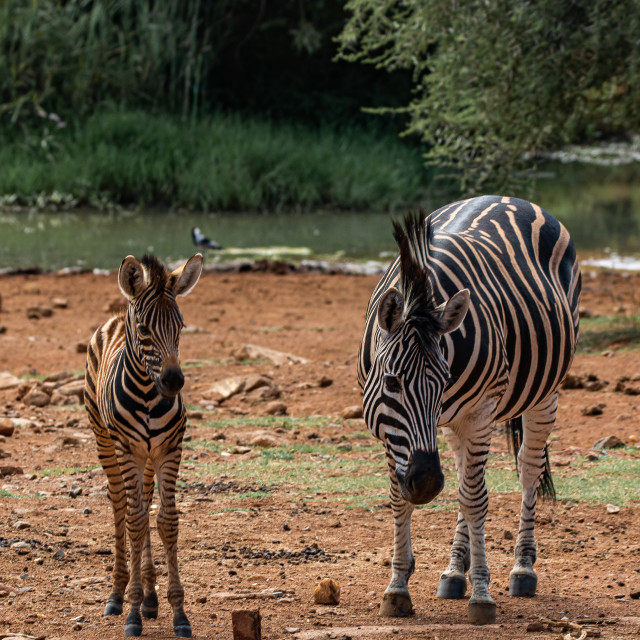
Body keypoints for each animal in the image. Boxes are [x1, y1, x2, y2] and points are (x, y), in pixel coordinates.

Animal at [84, 252, 201, 636]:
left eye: (180, 326)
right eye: (145, 330)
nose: (174, 381)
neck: (150, 394)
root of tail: (119, 315)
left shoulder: (169, 449)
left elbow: (166, 520)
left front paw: (178, 612)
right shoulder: (128, 450)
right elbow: (135, 520)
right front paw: (132, 611)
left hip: (148, 456)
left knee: (144, 500)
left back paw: (150, 596)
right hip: (104, 439)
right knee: (121, 504)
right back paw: (119, 594)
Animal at [358, 196, 584, 624]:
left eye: (443, 379)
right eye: (392, 383)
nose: (427, 482)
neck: (423, 290)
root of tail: (512, 198)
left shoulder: (479, 412)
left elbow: (475, 499)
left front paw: (482, 595)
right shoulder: (389, 427)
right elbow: (400, 496)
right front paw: (397, 587)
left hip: (545, 393)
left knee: (527, 470)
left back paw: (521, 569)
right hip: (455, 424)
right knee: (466, 474)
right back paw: (454, 571)